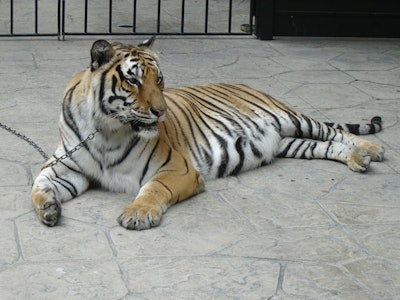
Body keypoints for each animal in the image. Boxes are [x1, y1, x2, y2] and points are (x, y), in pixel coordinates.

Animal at [30, 37, 384, 230]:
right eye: (133, 80)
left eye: (159, 79)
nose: (160, 112)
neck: (105, 129)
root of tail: (246, 84)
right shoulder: (64, 167)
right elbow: (38, 185)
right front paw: (48, 207)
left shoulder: (176, 168)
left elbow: (153, 189)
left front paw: (137, 213)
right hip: (288, 142)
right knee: (326, 146)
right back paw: (358, 159)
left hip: (291, 118)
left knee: (334, 131)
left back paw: (371, 149)